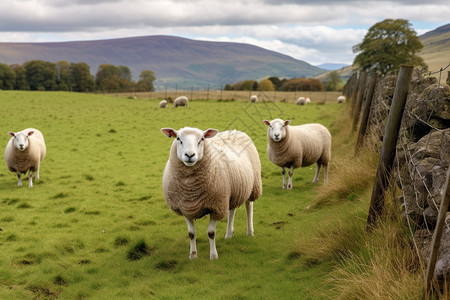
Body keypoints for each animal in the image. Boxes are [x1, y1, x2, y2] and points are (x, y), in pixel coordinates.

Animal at [161, 126, 262, 260]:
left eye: (202, 139)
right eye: (178, 138)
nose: (189, 155)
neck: (190, 187)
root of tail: (235, 131)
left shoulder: (216, 207)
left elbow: (211, 233)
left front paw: (213, 256)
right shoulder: (185, 208)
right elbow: (191, 234)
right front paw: (193, 255)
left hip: (253, 185)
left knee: (249, 206)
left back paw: (250, 231)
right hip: (233, 191)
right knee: (232, 210)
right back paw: (229, 234)